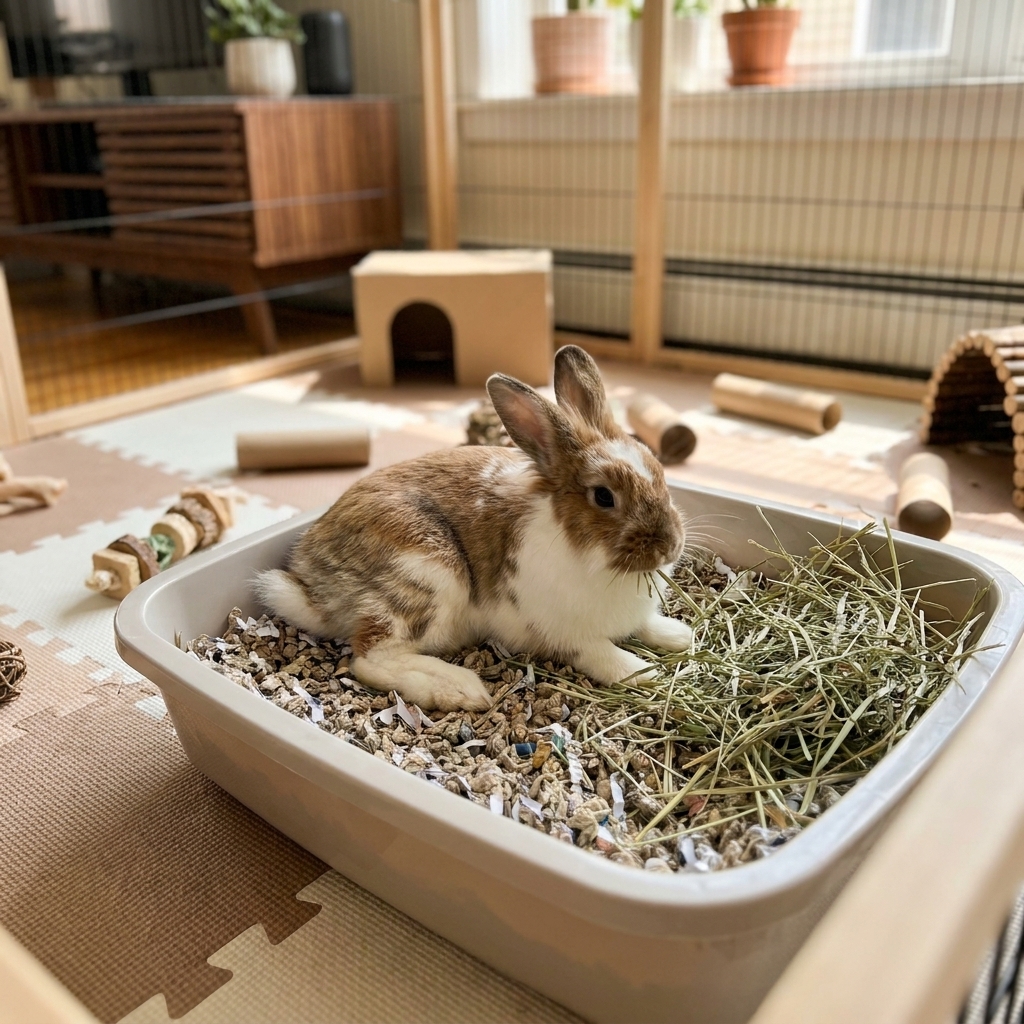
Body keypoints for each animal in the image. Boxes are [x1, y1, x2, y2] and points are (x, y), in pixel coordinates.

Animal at [256, 345, 692, 712]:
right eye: (603, 496)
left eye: (657, 468)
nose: (670, 546)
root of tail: (310, 582)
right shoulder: (568, 635)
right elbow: (604, 655)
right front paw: (646, 673)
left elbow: (648, 625)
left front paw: (680, 636)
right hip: (425, 578)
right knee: (370, 656)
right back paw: (461, 689)